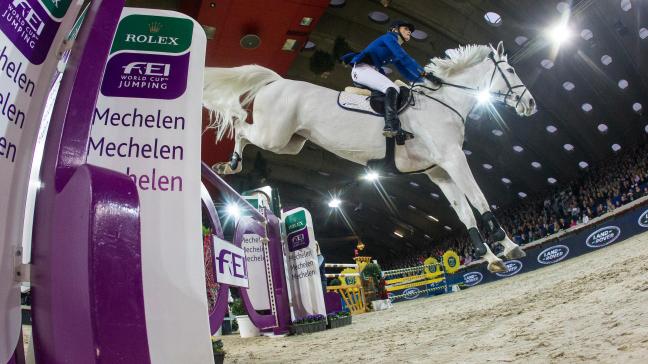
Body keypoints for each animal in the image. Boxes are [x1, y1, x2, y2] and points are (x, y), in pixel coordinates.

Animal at [202, 41, 536, 272]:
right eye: (510, 71)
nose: (531, 104)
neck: (443, 102)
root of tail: (277, 81)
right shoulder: (453, 158)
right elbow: (479, 200)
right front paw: (509, 245)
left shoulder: (439, 171)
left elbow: (465, 212)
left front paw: (490, 258)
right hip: (273, 135)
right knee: (239, 125)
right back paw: (230, 163)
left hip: (290, 143)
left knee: (246, 130)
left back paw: (229, 164)